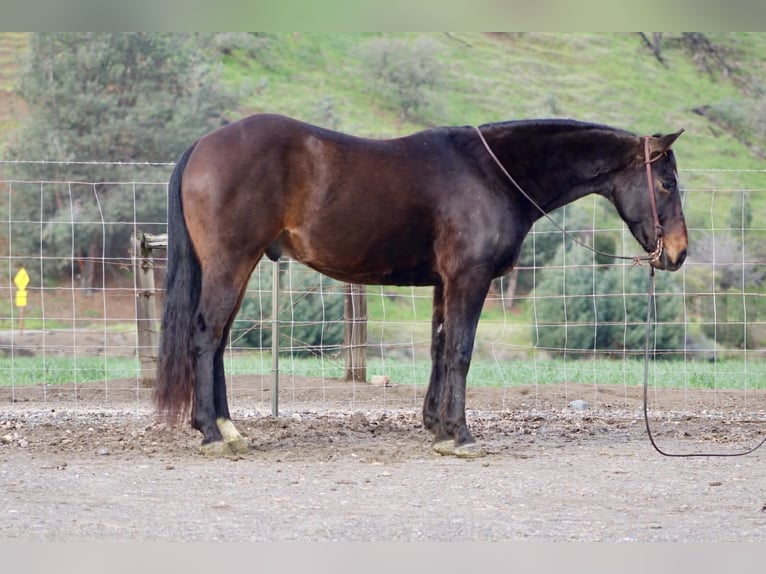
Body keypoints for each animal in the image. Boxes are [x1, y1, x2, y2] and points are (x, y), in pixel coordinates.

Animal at [155, 113, 687, 457]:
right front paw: (460, 436)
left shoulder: (442, 284)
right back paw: (212, 435)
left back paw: (226, 427)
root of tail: (202, 146)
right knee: (205, 337)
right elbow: (461, 351)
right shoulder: (469, 279)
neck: (492, 175)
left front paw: (436, 427)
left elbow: (439, 348)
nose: (678, 252)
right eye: (667, 183)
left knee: (218, 341)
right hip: (231, 264)